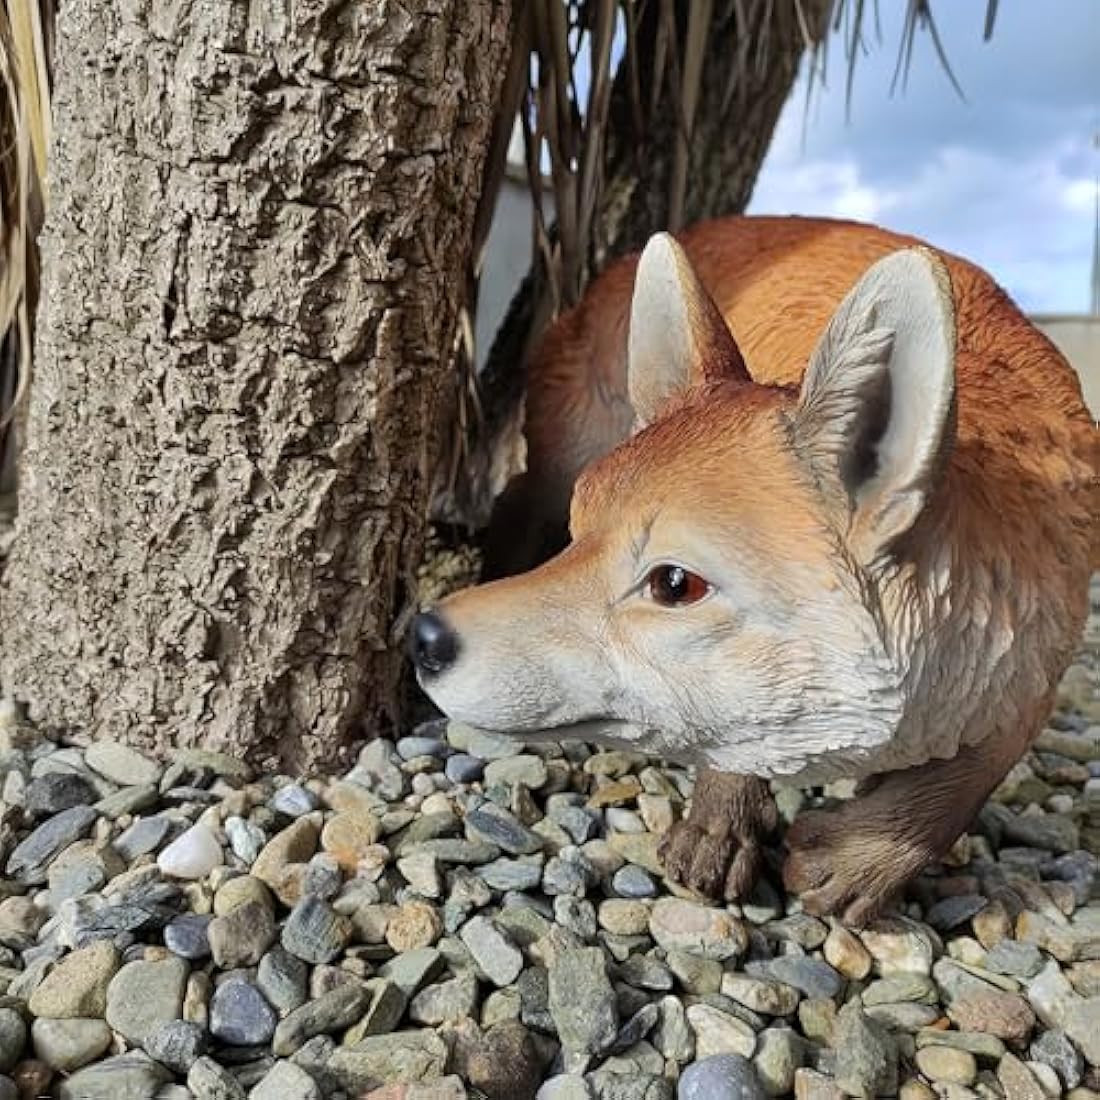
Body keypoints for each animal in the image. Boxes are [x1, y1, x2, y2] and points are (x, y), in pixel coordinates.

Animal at [411, 215, 1099, 924]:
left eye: (674, 583)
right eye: (579, 534)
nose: (425, 637)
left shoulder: (1032, 676)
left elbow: (959, 786)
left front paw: (867, 861)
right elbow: (736, 735)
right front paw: (724, 824)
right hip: (562, 456)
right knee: (516, 496)